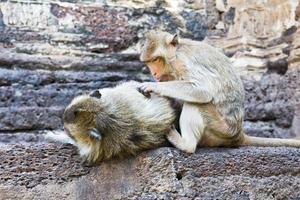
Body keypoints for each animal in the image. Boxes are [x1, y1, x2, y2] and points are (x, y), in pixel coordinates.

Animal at [138, 29, 300, 152]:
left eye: (156, 60)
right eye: (149, 62)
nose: (154, 73)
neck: (176, 53)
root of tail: (238, 133)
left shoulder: (183, 62)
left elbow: (203, 91)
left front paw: (152, 86)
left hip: (221, 129)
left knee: (197, 104)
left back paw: (186, 145)